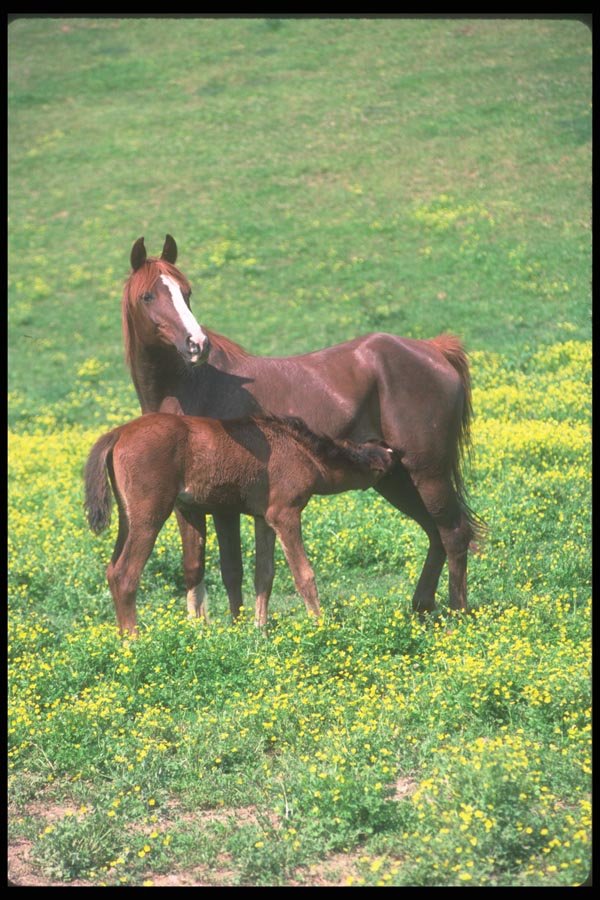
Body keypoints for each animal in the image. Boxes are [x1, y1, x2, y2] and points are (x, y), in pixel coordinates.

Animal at [84, 412, 396, 633]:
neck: (301, 451)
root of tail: (117, 433)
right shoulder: (285, 514)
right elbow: (304, 575)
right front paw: (320, 627)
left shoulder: (264, 518)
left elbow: (264, 574)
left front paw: (260, 631)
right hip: (150, 516)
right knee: (125, 575)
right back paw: (133, 643)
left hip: (128, 518)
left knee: (112, 571)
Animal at [120, 234, 482, 620]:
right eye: (148, 296)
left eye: (187, 292)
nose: (196, 345)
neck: (192, 384)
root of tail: (434, 350)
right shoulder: (192, 505)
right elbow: (200, 568)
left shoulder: (223, 506)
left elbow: (231, 568)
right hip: (397, 478)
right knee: (435, 533)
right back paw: (421, 607)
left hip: (428, 473)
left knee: (454, 534)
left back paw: (457, 614)